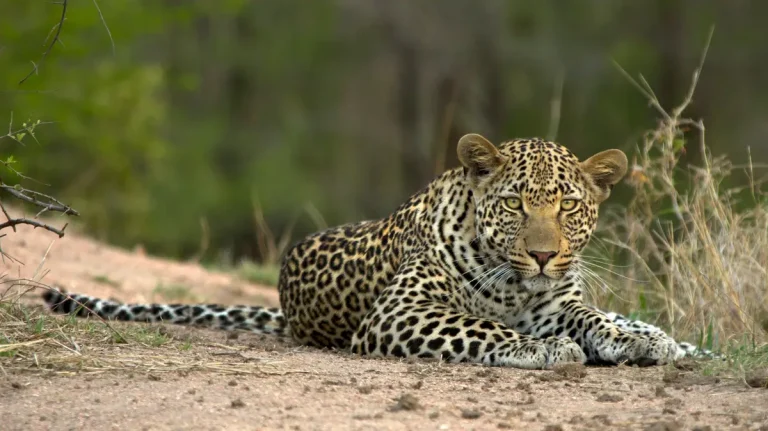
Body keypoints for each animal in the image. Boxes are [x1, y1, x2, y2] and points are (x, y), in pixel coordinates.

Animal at [43, 133, 712, 370]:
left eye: (568, 206)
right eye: (515, 204)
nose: (546, 256)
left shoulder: (560, 302)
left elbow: (595, 318)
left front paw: (634, 342)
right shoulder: (402, 312)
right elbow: (484, 327)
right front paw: (546, 350)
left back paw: (673, 342)